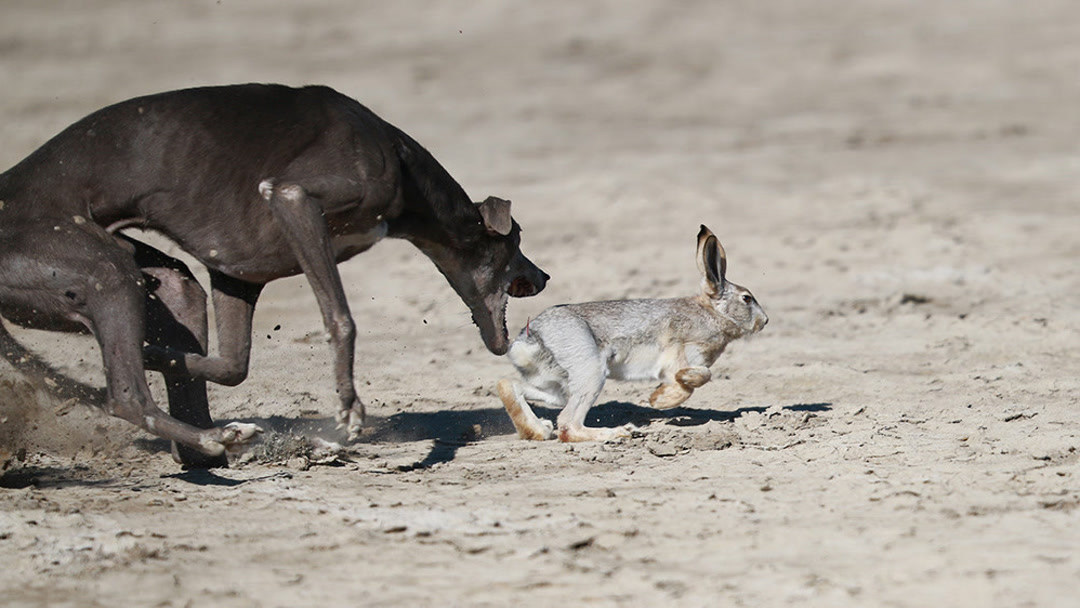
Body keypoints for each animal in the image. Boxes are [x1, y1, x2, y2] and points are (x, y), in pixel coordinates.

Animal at [496, 223, 768, 442]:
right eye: (746, 298)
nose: (764, 320)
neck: (714, 313)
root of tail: (529, 339)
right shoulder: (679, 352)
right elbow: (698, 378)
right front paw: (659, 400)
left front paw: (659, 397)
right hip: (590, 371)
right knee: (568, 426)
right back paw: (619, 433)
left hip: (556, 385)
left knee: (510, 385)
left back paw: (538, 430)